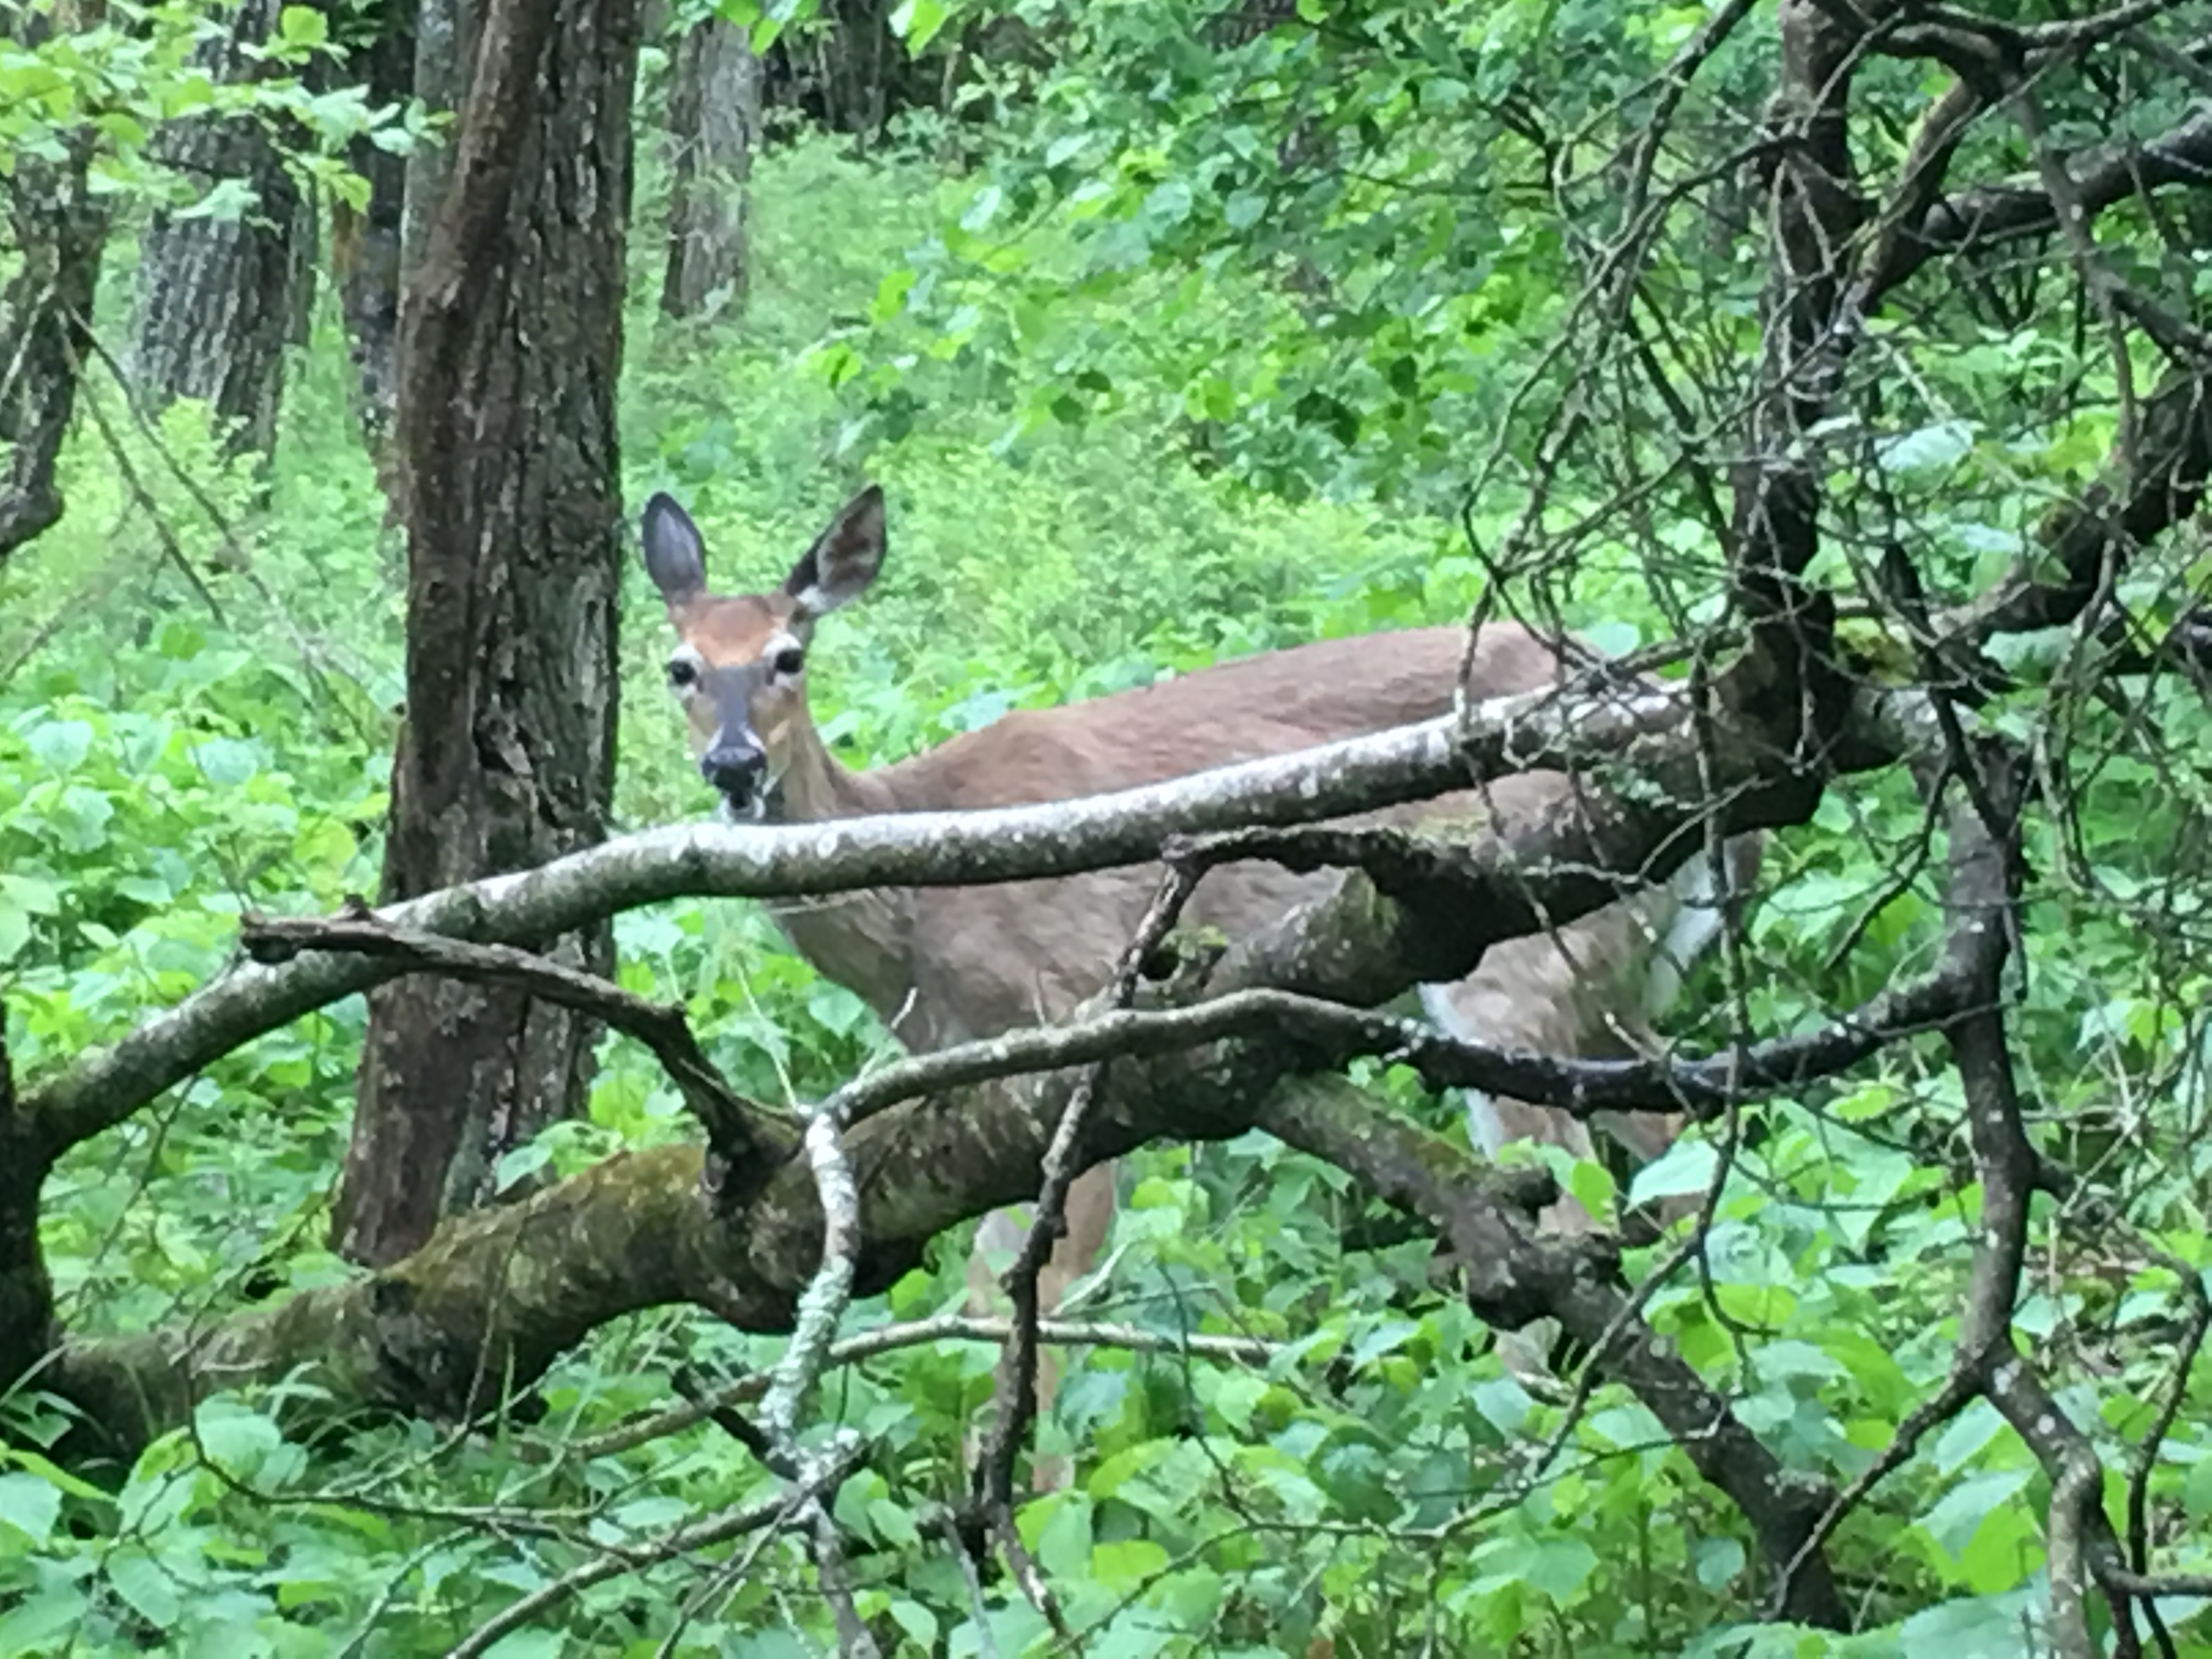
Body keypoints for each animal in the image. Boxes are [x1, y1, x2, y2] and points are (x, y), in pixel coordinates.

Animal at [639, 484, 1757, 1486]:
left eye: (788, 657)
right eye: (680, 667)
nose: (734, 765)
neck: (918, 913)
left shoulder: (1080, 1028)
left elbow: (1036, 1299)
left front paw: (1029, 1517)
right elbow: (982, 1297)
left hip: (1514, 960)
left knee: (1563, 1214)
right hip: (1607, 979)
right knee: (1671, 1147)